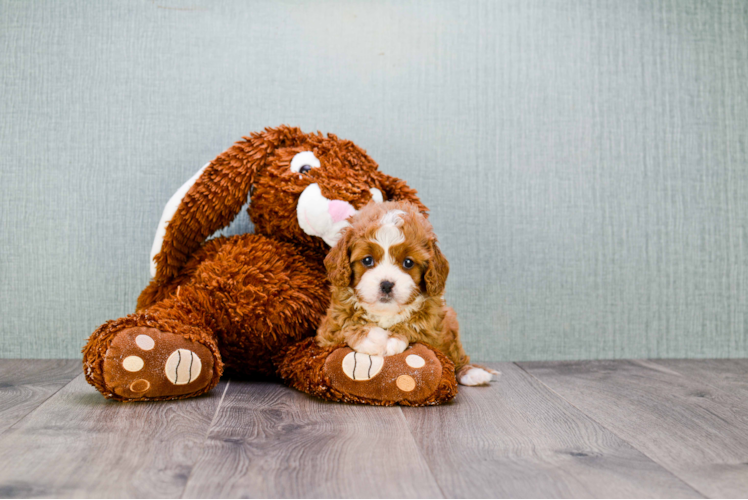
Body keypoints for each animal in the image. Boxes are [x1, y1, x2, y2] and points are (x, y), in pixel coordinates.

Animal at [316, 200, 496, 386]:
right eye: (367, 260)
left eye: (408, 262)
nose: (386, 284)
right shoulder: (330, 328)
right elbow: (348, 324)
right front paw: (373, 337)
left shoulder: (432, 322)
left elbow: (414, 325)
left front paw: (392, 338)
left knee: (455, 353)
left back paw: (472, 372)